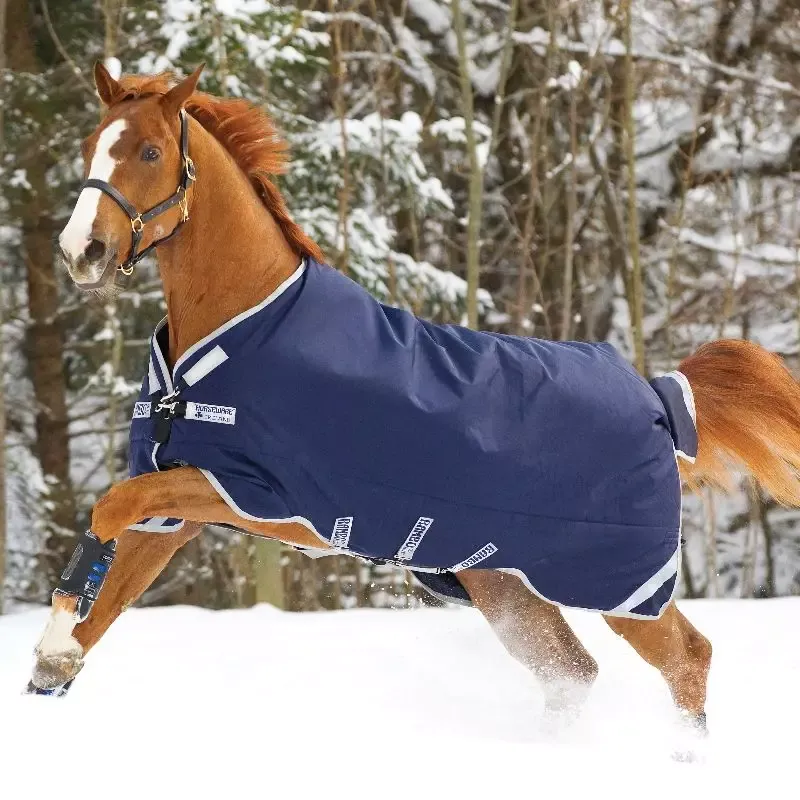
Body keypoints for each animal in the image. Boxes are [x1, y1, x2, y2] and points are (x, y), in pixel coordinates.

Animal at [29, 63, 800, 739]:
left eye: (151, 150)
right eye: (91, 145)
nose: (82, 250)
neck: (237, 333)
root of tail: (658, 395)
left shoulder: (256, 493)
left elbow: (107, 510)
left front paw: (53, 647)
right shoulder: (176, 506)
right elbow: (109, 586)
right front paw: (54, 662)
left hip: (622, 584)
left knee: (686, 660)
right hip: (502, 583)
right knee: (572, 672)